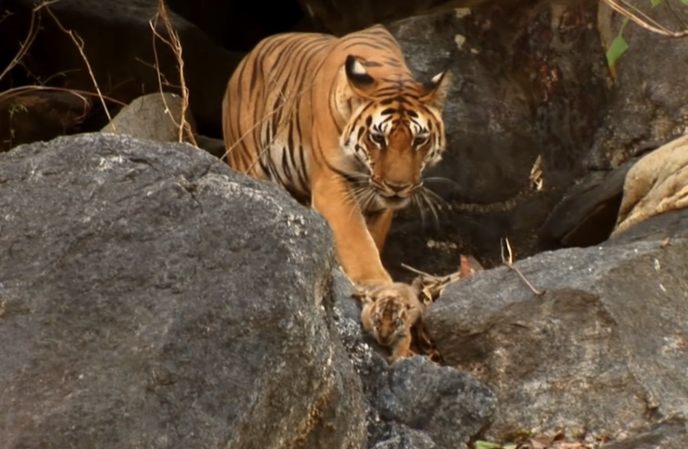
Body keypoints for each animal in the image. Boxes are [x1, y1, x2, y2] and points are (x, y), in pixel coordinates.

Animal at [222, 22, 452, 292]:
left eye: (419, 140)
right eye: (378, 138)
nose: (398, 187)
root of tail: (248, 55)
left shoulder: (379, 202)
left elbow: (373, 237)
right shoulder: (331, 183)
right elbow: (355, 237)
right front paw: (376, 282)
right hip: (248, 163)